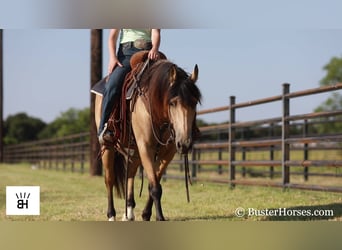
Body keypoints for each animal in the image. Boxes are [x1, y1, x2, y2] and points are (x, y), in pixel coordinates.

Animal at [93, 52, 202, 221]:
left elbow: (155, 182)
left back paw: (129, 212)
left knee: (130, 173)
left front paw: (146, 214)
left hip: (135, 150)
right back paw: (111, 215)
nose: (185, 143)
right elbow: (155, 187)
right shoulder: (146, 147)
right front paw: (159, 217)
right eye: (172, 103)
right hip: (108, 146)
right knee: (109, 179)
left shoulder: (168, 152)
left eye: (195, 102)